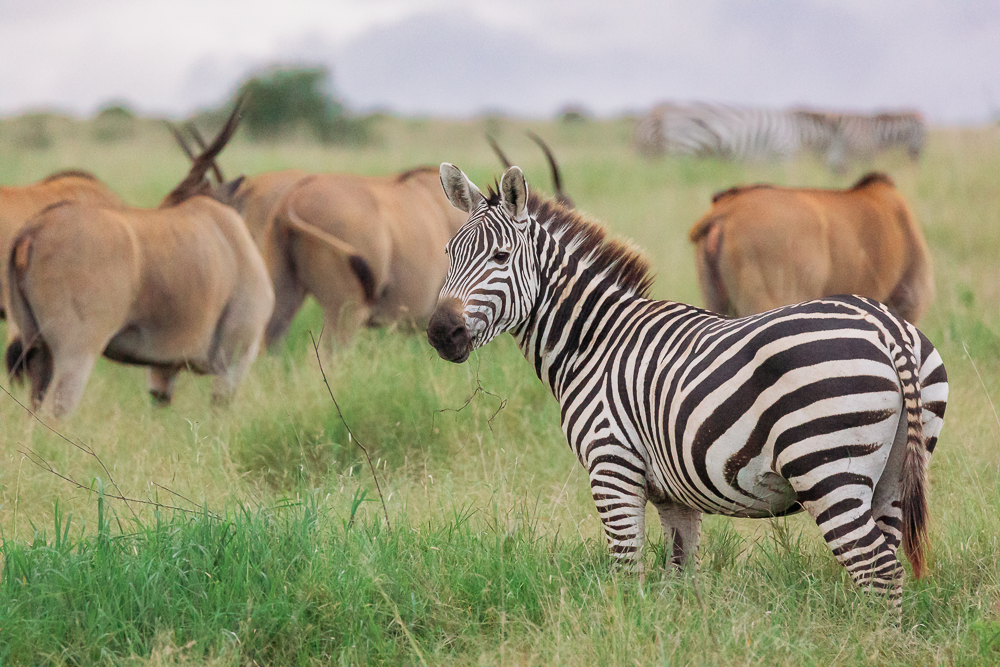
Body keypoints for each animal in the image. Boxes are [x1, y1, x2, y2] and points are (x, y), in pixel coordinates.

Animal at [427, 164, 948, 606]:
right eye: (449, 254)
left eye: (501, 257)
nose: (440, 332)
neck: (594, 340)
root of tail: (887, 328)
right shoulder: (674, 496)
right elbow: (679, 574)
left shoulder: (612, 466)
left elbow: (626, 571)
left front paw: (623, 628)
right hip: (894, 474)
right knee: (887, 564)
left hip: (827, 466)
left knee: (875, 568)